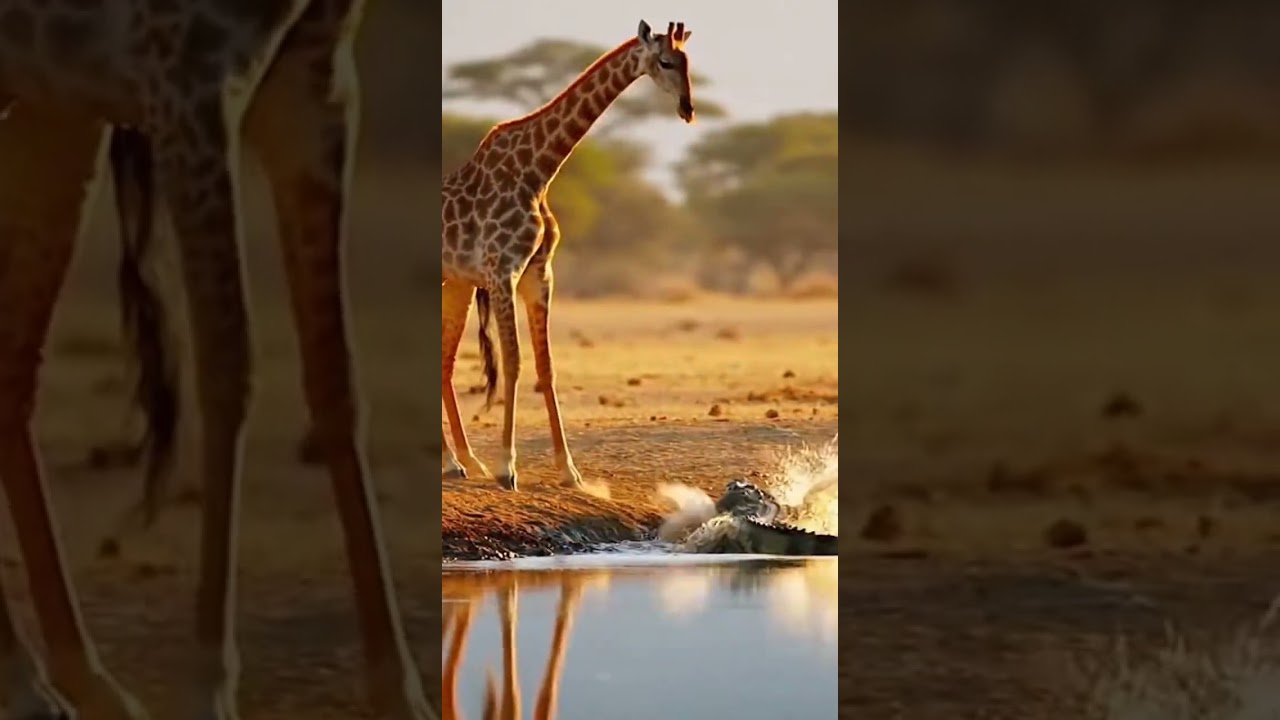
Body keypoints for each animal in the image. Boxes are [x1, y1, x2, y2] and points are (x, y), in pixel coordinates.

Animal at [0, 1, 429, 718]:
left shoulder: (316, 83)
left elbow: (336, 381)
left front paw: (398, 691)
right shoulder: (189, 82)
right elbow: (229, 366)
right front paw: (206, 687)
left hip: (53, 103)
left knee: (12, 369)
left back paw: (70, 682)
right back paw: (37, 681)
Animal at [441, 20, 698, 491]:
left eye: (688, 62)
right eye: (665, 62)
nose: (688, 109)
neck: (536, 172)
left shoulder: (538, 274)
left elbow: (547, 369)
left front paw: (569, 471)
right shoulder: (502, 270)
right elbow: (515, 362)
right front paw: (507, 468)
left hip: (458, 282)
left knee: (445, 361)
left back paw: (462, 461)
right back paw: (463, 462)